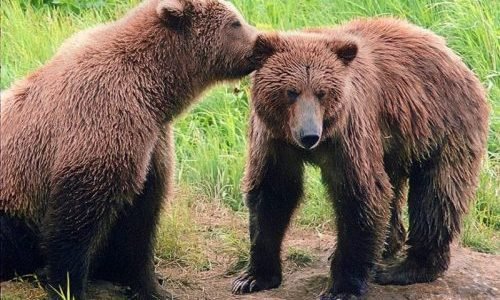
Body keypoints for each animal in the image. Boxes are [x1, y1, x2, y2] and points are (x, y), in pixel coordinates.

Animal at [0, 0, 268, 298]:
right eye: (235, 23)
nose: (262, 41)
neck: (153, 94)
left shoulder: (152, 142)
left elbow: (140, 221)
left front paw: (150, 284)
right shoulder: (100, 121)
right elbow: (77, 220)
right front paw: (68, 285)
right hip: (11, 208)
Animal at [232, 18, 490, 300]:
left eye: (322, 92)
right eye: (291, 91)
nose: (309, 135)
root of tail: (456, 58)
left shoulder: (350, 134)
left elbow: (362, 197)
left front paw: (341, 288)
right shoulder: (274, 140)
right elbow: (272, 193)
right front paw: (253, 277)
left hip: (442, 127)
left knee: (437, 196)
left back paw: (407, 268)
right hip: (396, 143)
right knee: (397, 189)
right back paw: (387, 246)